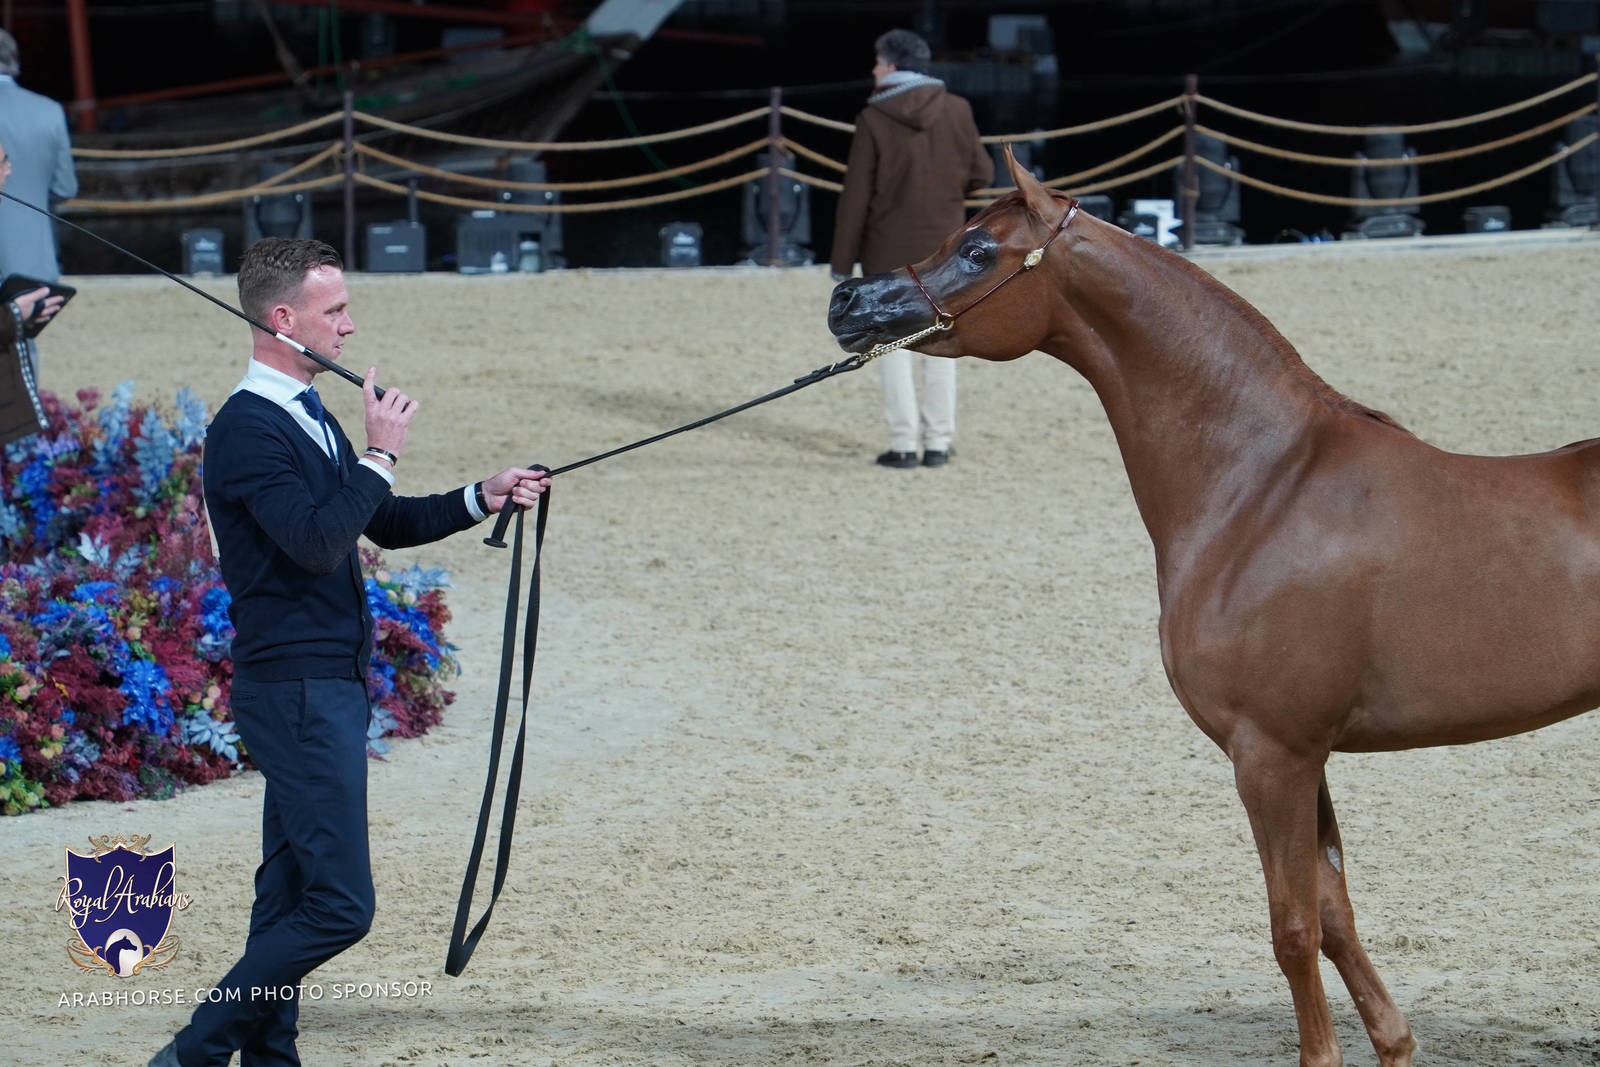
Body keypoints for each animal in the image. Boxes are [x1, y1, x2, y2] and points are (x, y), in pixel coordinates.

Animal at [826, 146, 1600, 1067]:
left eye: (979, 250)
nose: (847, 301)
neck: (1261, 484)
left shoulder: (1271, 754)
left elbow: (1294, 929)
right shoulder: (1307, 756)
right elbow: (1336, 912)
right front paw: (1394, 1038)